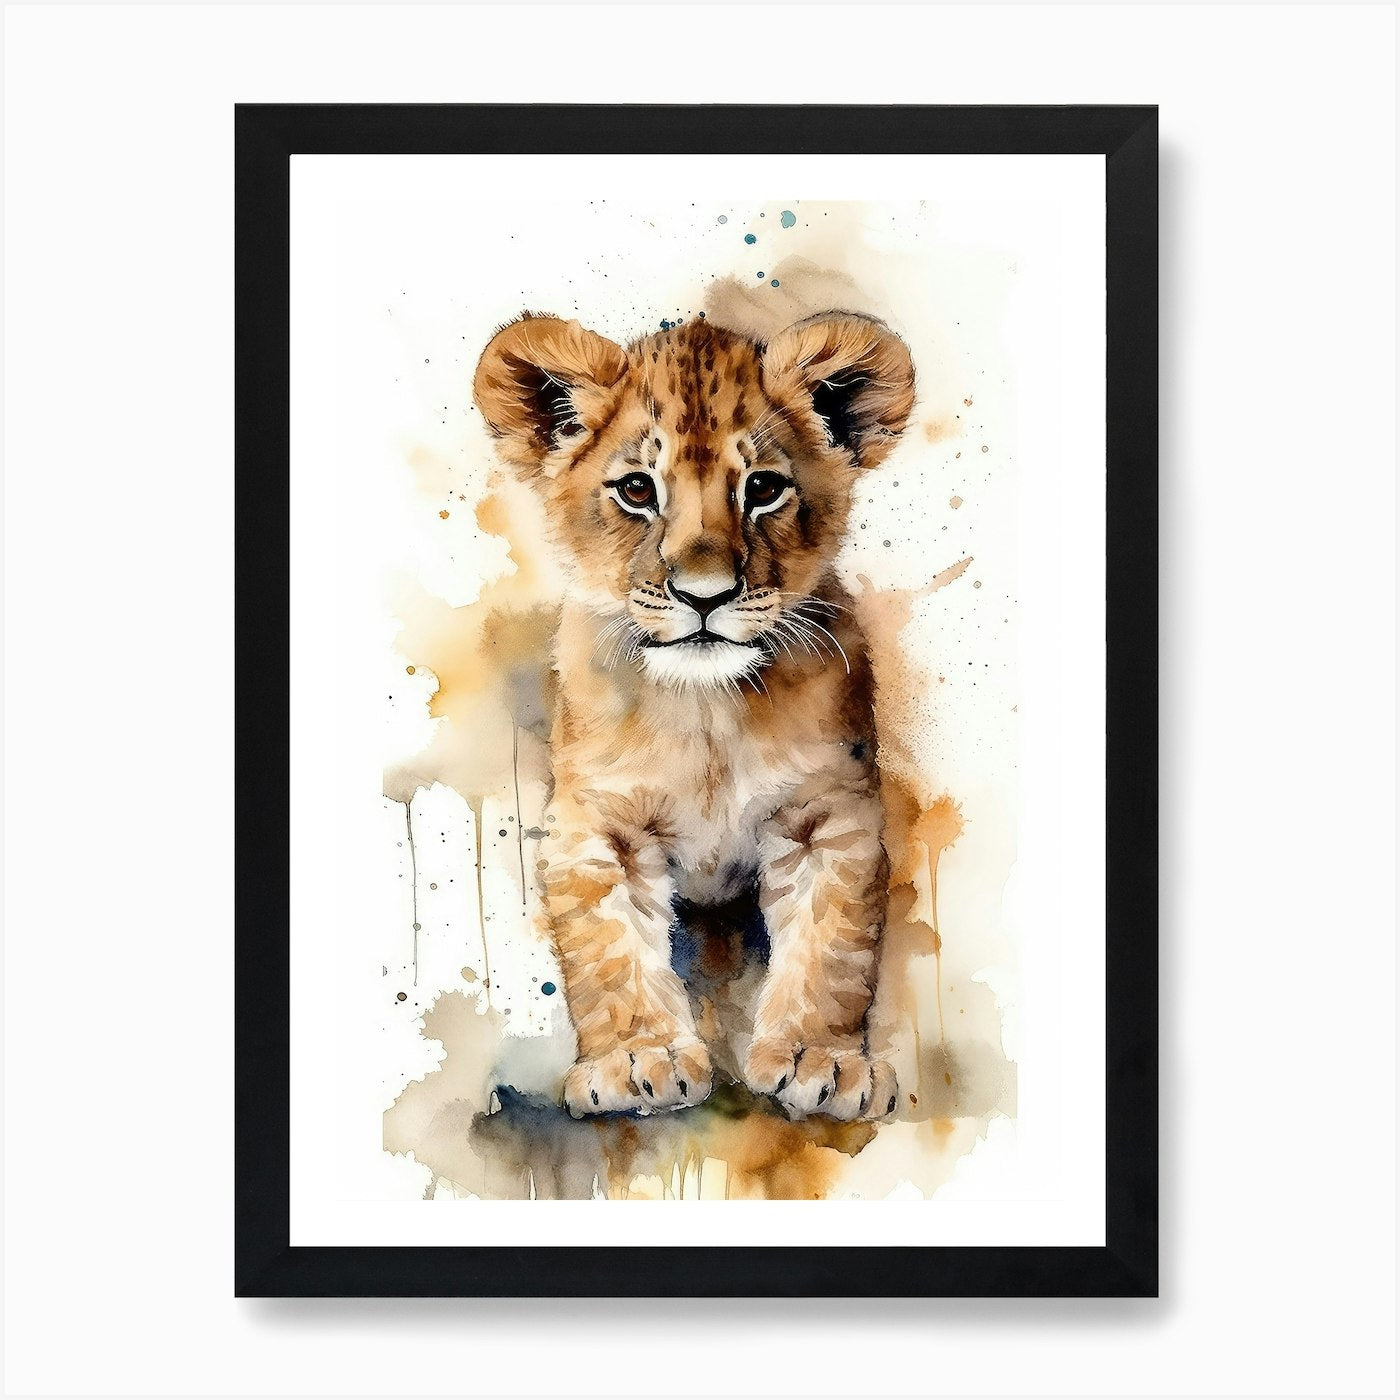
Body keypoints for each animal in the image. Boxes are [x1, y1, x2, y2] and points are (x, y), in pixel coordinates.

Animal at [472, 309, 915, 1121]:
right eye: (637, 489)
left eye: (764, 489)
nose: (704, 596)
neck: (707, 708)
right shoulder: (595, 824)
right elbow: (608, 951)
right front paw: (635, 1061)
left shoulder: (828, 815)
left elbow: (831, 951)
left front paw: (818, 1061)